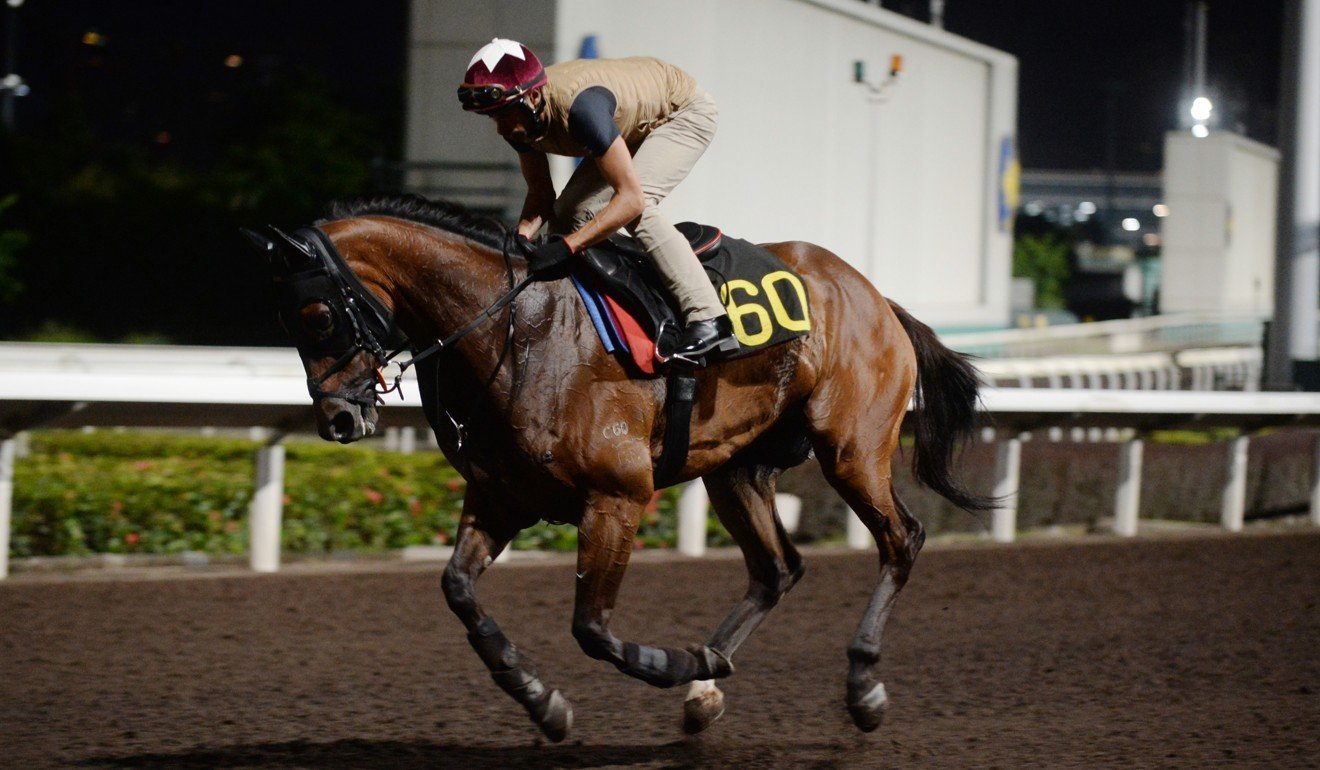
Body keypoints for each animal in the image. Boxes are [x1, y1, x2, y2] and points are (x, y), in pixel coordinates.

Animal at [245, 192, 992, 739]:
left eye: (316, 316)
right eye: (284, 320)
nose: (338, 420)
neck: (518, 334)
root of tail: (875, 297)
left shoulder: (619, 495)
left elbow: (593, 628)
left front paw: (670, 663)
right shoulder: (500, 496)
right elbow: (458, 589)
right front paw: (541, 700)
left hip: (851, 449)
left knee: (900, 539)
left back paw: (861, 686)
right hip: (735, 468)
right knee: (777, 568)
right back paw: (707, 686)